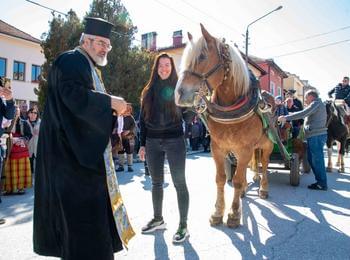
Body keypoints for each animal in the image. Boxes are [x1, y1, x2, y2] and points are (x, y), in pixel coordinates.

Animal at [175, 24, 274, 228]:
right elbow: (221, 179)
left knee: (264, 163)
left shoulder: (244, 149)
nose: (180, 94)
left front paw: (234, 214)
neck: (231, 110)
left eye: (202, 56)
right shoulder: (217, 148)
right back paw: (246, 189)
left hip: (267, 145)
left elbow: (235, 181)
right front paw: (218, 212)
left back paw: (263, 188)